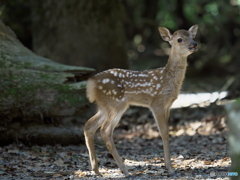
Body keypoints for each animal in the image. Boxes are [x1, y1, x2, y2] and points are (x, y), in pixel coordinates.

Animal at [84, 24, 199, 176]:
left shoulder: (168, 105)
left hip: (104, 106)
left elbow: (167, 131)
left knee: (89, 125)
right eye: (179, 39)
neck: (168, 77)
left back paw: (96, 170)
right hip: (116, 103)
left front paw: (169, 166)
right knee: (105, 131)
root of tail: (91, 84)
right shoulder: (157, 103)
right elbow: (164, 133)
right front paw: (169, 168)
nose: (194, 44)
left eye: (192, 36)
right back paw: (124, 170)